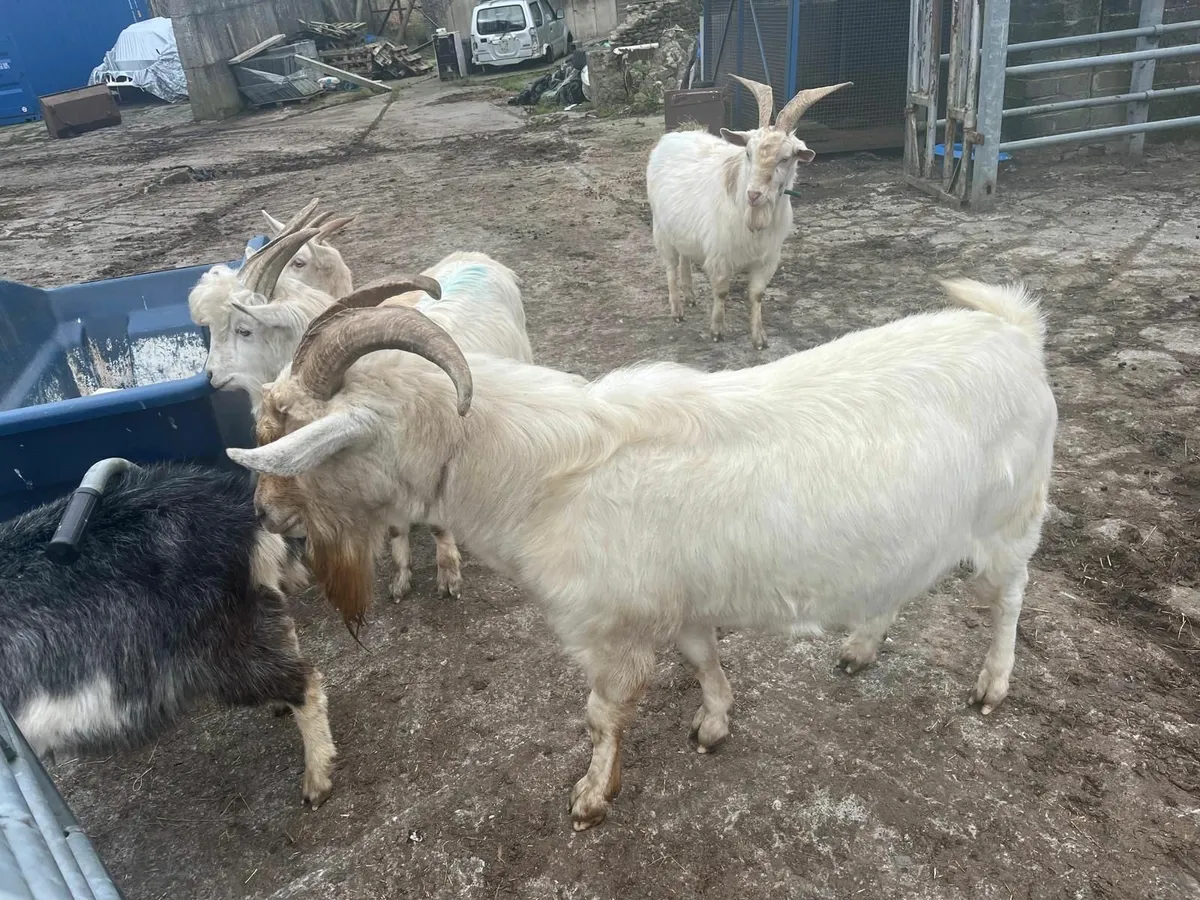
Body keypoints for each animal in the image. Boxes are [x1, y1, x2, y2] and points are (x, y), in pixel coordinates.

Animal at [228, 276, 1056, 830]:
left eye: (292, 430)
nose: (265, 513)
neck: (541, 473)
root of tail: (1019, 333)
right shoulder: (671, 602)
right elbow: (701, 658)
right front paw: (714, 724)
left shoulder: (608, 630)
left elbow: (604, 715)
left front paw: (592, 797)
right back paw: (859, 646)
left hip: (1011, 516)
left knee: (1012, 594)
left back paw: (992, 685)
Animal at [646, 76, 850, 348]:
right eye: (747, 152)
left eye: (785, 158)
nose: (753, 194)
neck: (752, 220)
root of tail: (672, 136)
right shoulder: (720, 255)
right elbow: (721, 291)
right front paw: (717, 330)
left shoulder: (767, 259)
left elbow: (757, 294)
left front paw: (759, 338)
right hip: (661, 228)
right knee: (670, 266)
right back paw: (677, 310)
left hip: (683, 231)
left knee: (685, 259)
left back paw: (689, 297)